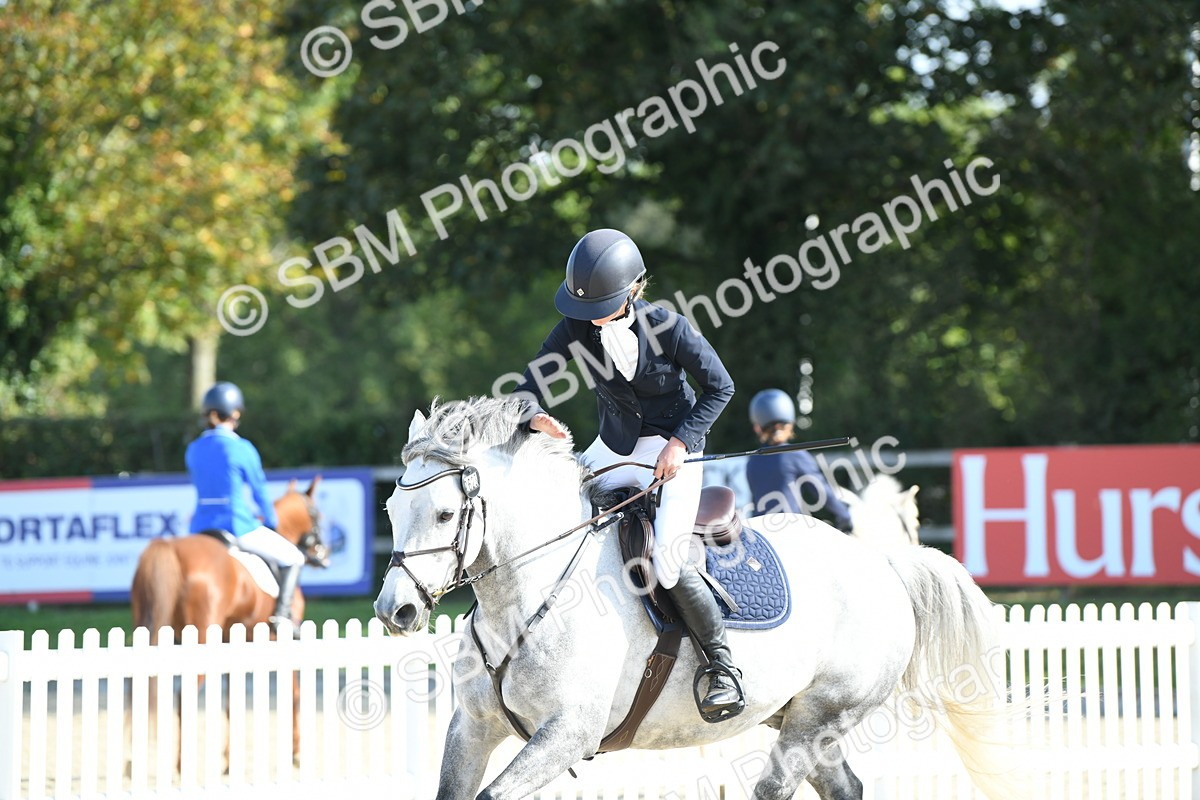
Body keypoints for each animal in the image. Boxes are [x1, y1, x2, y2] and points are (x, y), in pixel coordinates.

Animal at [129, 478, 329, 768]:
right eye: (317, 515)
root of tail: (172, 549)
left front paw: (228, 759)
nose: (323, 555)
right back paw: (181, 764)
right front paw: (296, 751)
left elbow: (231, 701)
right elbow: (293, 693)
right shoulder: (279, 641)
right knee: (184, 696)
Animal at [375, 397, 1026, 800]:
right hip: (802, 717)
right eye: (390, 508)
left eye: (444, 514)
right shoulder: (472, 728)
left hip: (822, 714)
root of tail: (880, 564)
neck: (529, 594)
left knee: (776, 787)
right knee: (845, 788)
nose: (393, 612)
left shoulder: (567, 734)